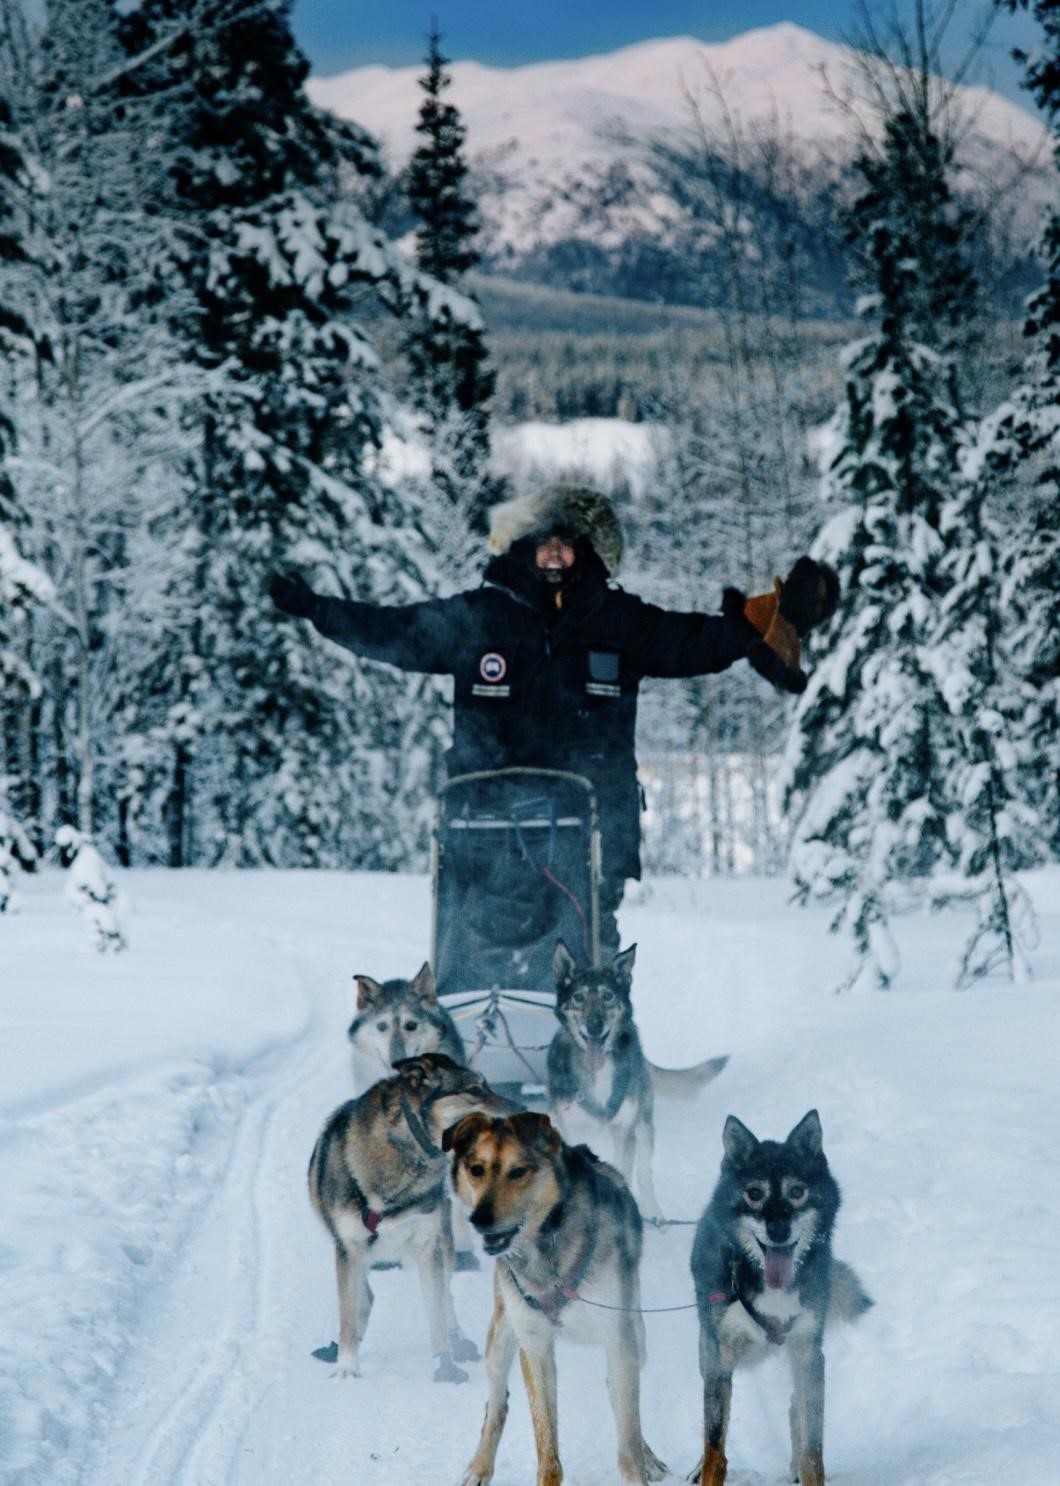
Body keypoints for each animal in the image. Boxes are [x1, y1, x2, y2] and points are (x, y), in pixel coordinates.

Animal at [306, 1058, 511, 1379]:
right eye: (474, 1090)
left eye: (486, 1086)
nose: (520, 1108)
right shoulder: (348, 1248)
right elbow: (348, 1314)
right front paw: (347, 1365)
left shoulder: (428, 1246)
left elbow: (437, 1312)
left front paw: (445, 1366)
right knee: (364, 1297)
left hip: (443, 1244)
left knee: (446, 1297)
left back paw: (458, 1340)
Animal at [443, 1111, 666, 1486]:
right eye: (476, 1169)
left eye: (518, 1171)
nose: (480, 1219)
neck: (546, 1249)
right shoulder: (534, 1345)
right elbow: (546, 1443)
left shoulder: (618, 1339)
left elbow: (628, 1434)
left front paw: (639, 1466)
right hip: (501, 1339)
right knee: (496, 1403)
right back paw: (479, 1467)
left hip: (637, 1335)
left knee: (621, 1401)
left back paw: (648, 1454)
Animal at [547, 939, 728, 1218]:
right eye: (578, 997)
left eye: (608, 996)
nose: (595, 1025)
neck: (597, 1073)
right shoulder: (573, 1130)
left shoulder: (625, 1129)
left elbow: (626, 1173)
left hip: (643, 1126)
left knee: (644, 1173)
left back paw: (652, 1210)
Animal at [686, 1111, 868, 1486]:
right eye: (755, 1193)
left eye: (797, 1192)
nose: (779, 1231)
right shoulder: (720, 1356)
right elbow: (715, 1445)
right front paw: (707, 1469)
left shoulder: (809, 1351)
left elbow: (813, 1448)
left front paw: (807, 1469)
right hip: (707, 1351)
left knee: (797, 1405)